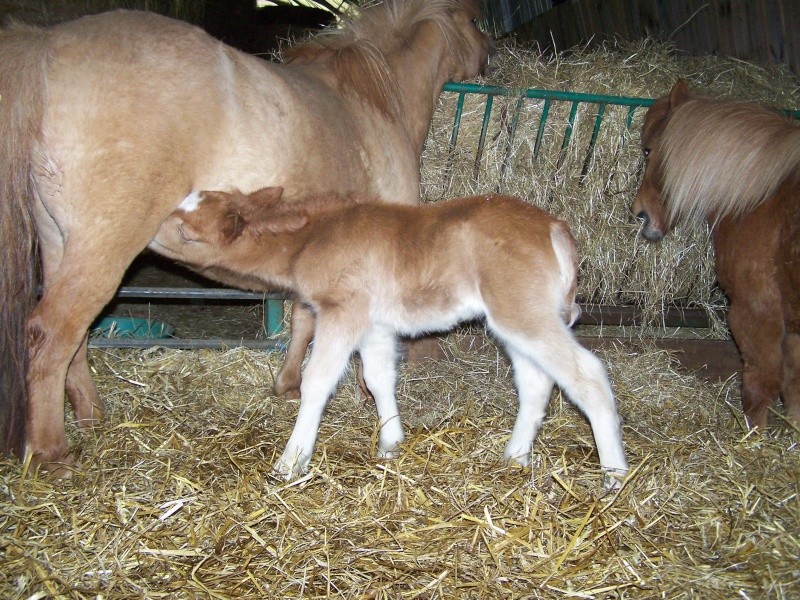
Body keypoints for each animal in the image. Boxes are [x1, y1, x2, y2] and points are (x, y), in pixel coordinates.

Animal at [0, 0, 494, 474]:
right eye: (475, 21)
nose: (488, 58)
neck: (372, 101)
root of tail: (45, 45)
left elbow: (302, 318)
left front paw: (288, 384)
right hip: (103, 249)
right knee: (52, 333)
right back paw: (51, 454)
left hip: (59, 242)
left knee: (76, 339)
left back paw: (90, 414)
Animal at [152, 188, 632, 488]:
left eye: (188, 232)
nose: (147, 234)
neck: (313, 238)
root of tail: (556, 230)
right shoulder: (375, 323)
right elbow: (379, 377)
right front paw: (390, 445)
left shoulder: (343, 311)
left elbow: (317, 382)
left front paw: (290, 463)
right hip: (516, 319)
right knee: (536, 383)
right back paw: (513, 457)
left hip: (523, 313)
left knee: (586, 373)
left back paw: (613, 478)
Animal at [632, 79, 800, 432]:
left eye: (648, 150)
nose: (639, 213)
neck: (760, 198)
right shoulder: (793, 326)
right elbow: (794, 389)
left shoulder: (756, 311)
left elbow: (761, 384)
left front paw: (753, 439)